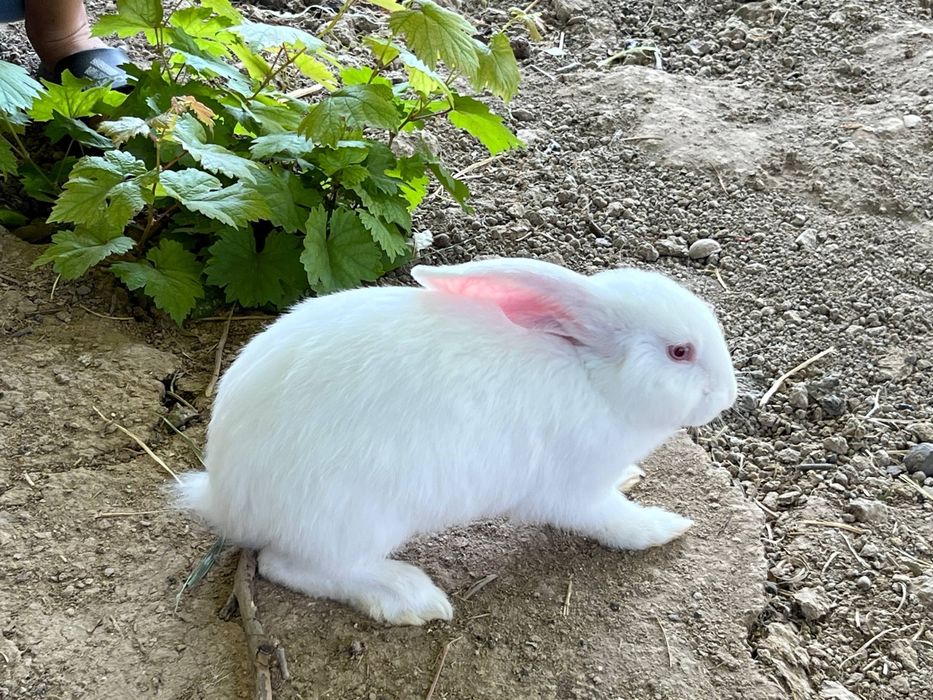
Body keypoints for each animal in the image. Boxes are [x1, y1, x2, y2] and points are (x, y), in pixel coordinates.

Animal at [175, 257, 737, 626]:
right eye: (680, 352)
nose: (727, 396)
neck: (593, 378)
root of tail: (225, 496)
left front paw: (634, 478)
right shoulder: (575, 491)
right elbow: (613, 521)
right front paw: (662, 527)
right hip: (354, 520)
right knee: (293, 566)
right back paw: (408, 596)